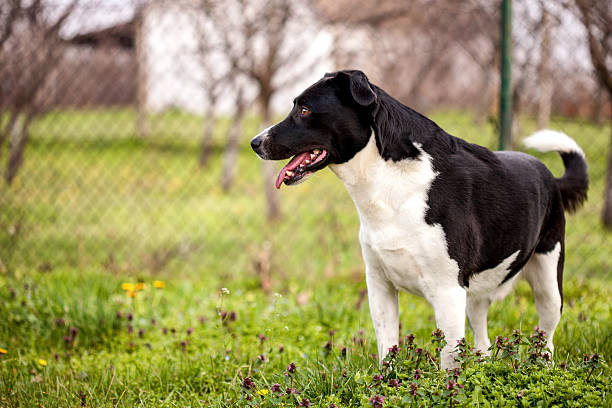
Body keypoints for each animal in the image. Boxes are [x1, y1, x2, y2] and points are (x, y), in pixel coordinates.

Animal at [250, 68, 588, 368]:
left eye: (304, 110)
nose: (255, 143)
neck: (390, 179)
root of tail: (551, 176)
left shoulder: (448, 291)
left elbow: (449, 361)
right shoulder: (380, 285)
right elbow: (387, 348)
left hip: (548, 279)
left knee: (547, 336)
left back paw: (542, 365)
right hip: (477, 292)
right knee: (482, 335)